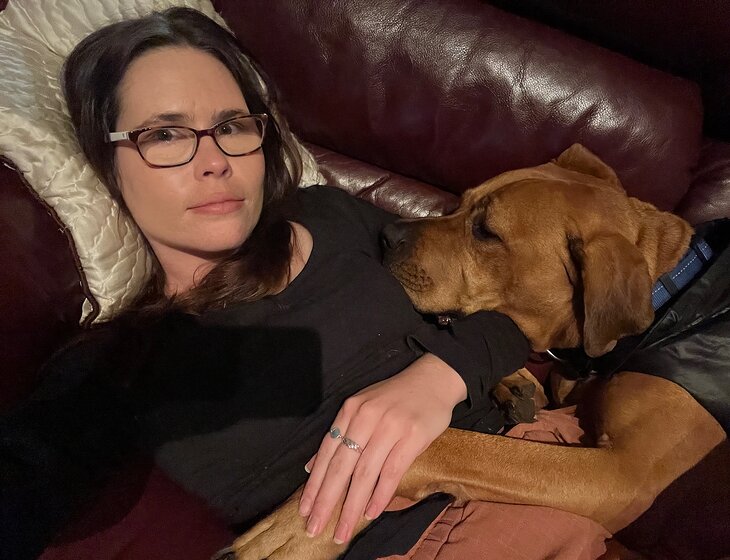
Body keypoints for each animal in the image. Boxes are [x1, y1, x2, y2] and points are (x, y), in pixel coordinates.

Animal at [225, 144, 727, 559]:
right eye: (461, 201)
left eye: (486, 232)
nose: (386, 233)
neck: (668, 288)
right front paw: (515, 384)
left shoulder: (620, 473)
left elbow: (446, 446)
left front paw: (303, 525)